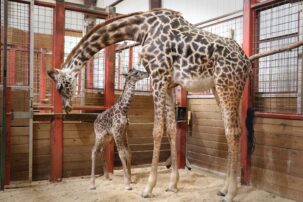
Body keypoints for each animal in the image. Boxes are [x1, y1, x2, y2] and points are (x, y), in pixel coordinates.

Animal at [48, 8, 252, 201]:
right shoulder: (169, 84)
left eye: (60, 86)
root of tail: (246, 62)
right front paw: (172, 185)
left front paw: (148, 188)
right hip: (222, 89)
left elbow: (157, 130)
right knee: (234, 130)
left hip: (227, 84)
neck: (140, 29)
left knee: (232, 131)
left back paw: (231, 193)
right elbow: (171, 129)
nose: (67, 108)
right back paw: (224, 188)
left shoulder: (158, 76)